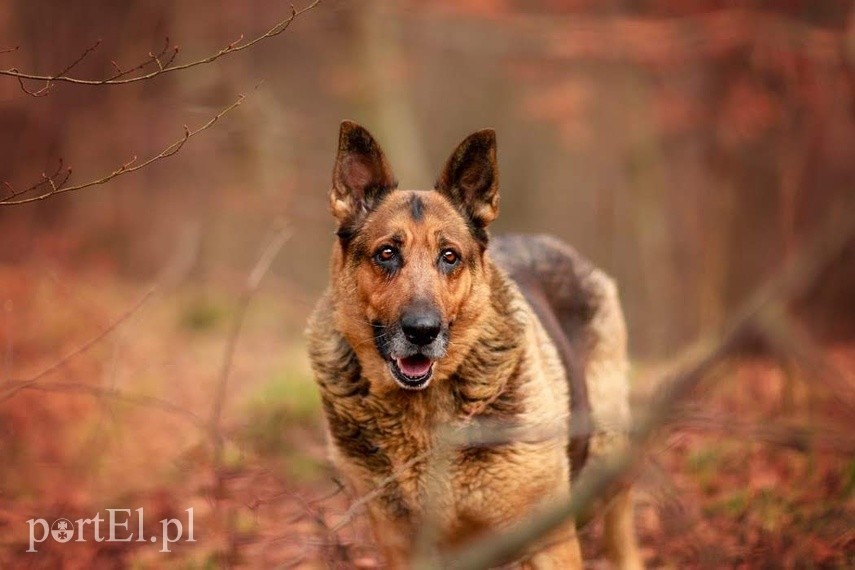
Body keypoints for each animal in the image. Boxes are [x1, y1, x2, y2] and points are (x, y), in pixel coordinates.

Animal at [308, 122, 640, 564]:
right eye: (386, 253)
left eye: (449, 256)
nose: (422, 331)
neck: (421, 414)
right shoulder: (403, 548)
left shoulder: (549, 542)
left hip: (607, 458)